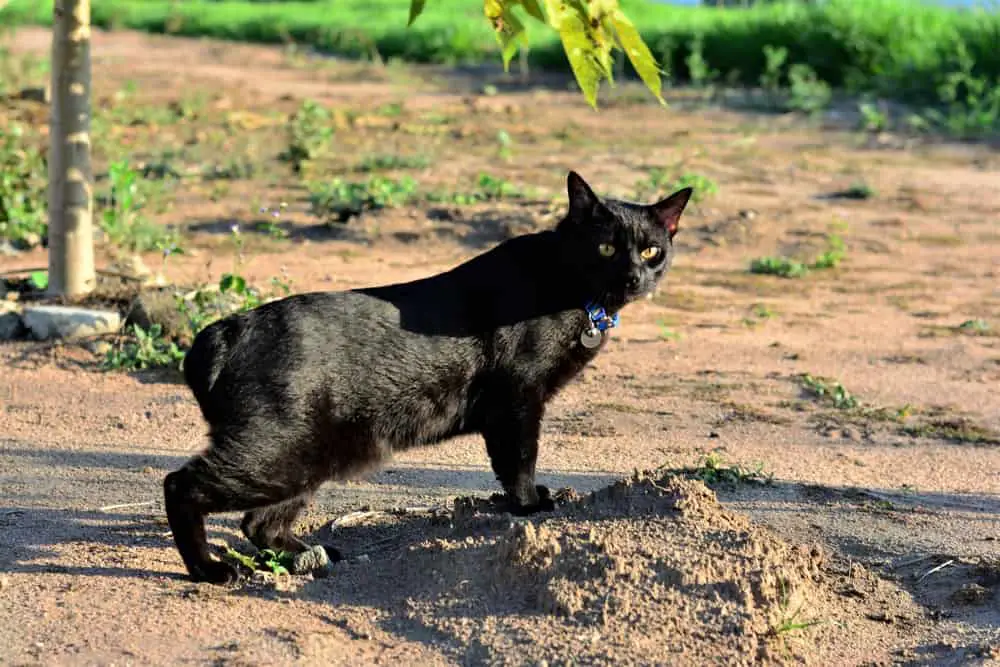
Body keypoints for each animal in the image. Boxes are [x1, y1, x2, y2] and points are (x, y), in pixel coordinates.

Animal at [166, 172, 696, 584]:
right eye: (606, 248)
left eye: (652, 250)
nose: (633, 277)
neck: (569, 288)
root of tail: (224, 330)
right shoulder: (518, 400)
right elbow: (520, 460)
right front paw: (529, 506)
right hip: (277, 452)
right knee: (181, 484)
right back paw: (208, 569)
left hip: (310, 458)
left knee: (258, 524)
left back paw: (306, 555)